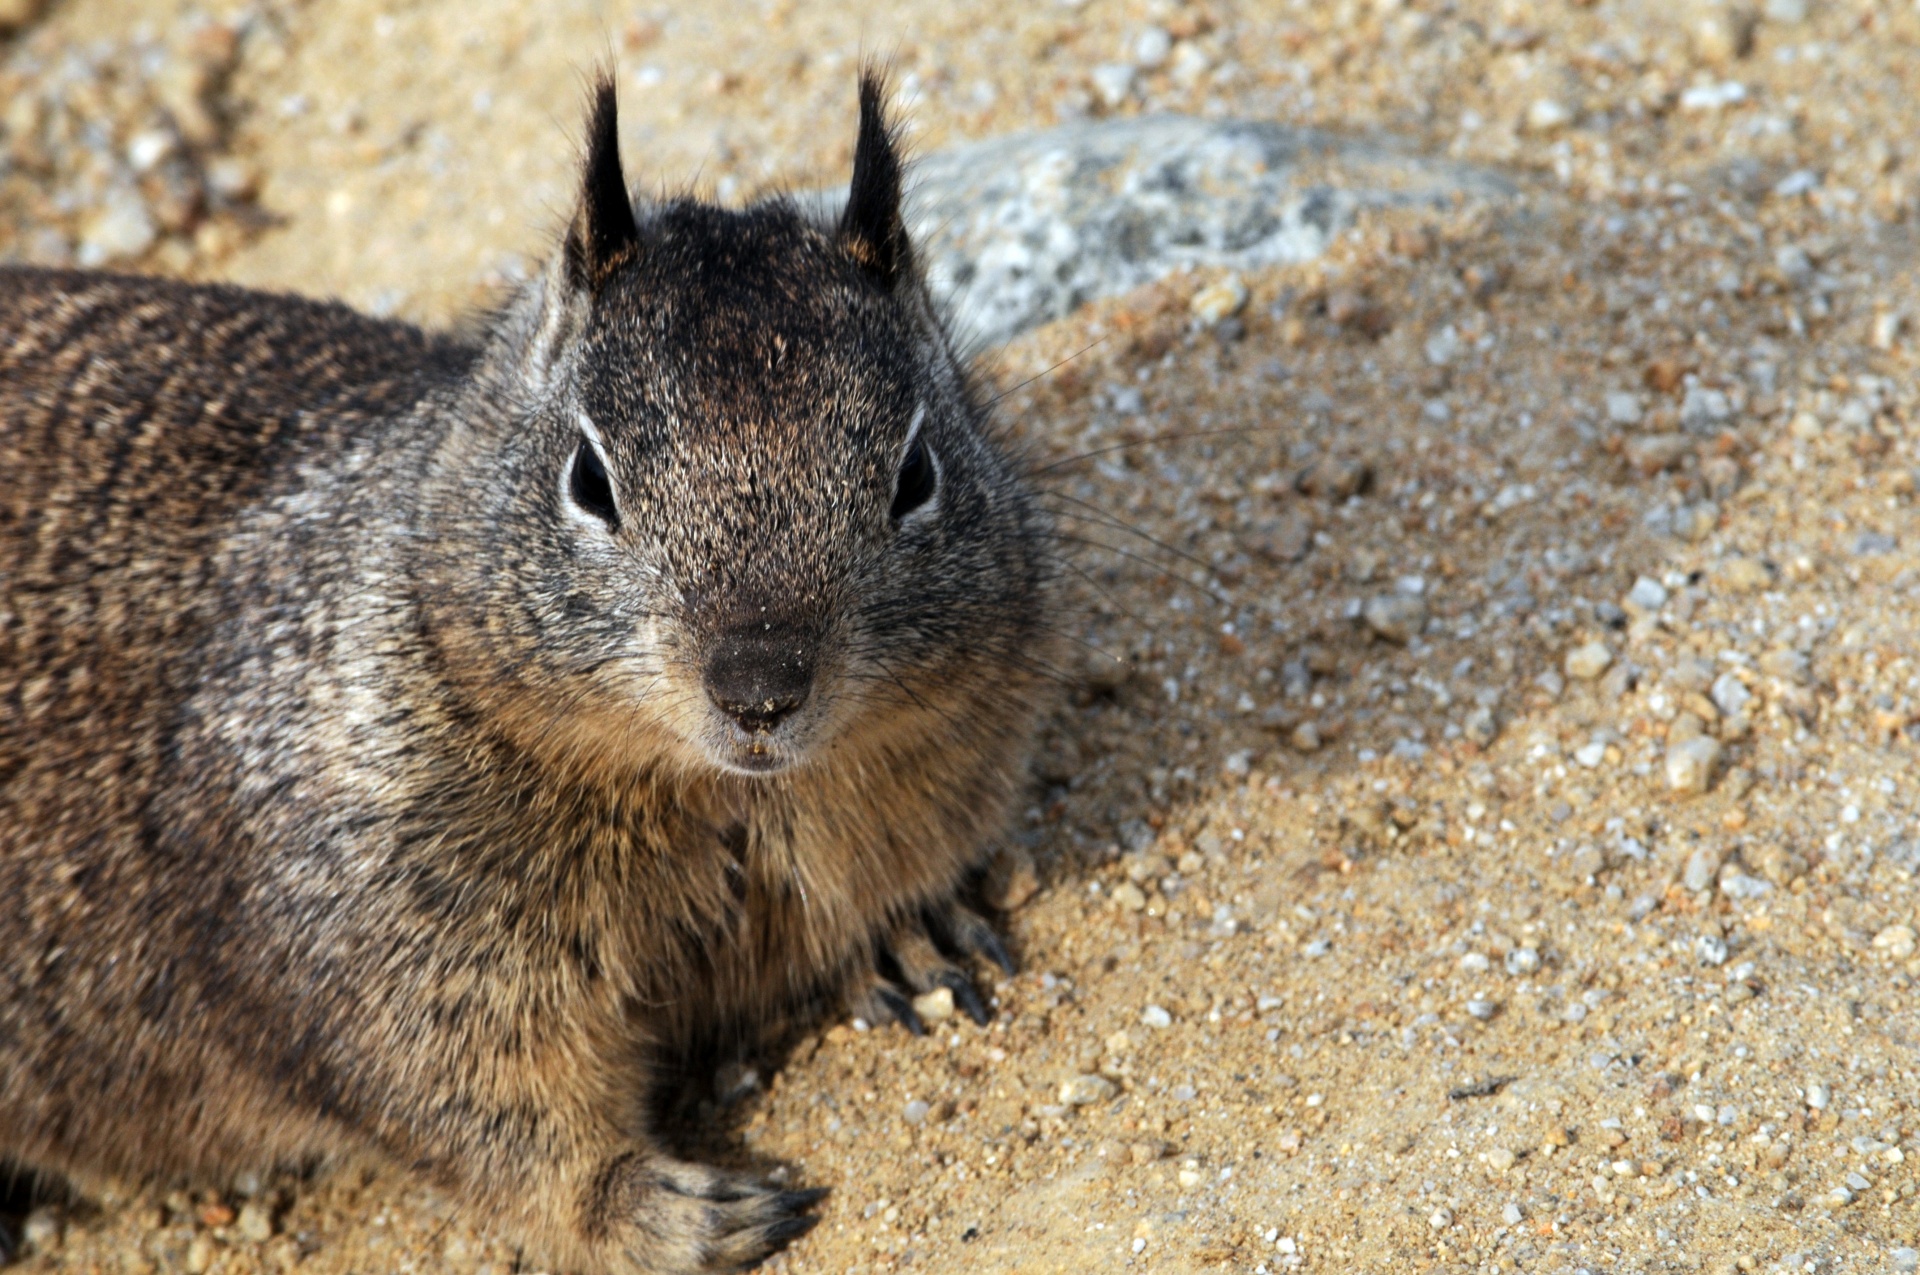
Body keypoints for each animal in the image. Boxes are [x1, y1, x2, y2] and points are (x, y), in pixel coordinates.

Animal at [0, 74, 1059, 1267]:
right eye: (588, 478)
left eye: (916, 471)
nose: (760, 687)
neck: (716, 795)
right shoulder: (404, 954)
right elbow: (491, 1116)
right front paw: (674, 1213)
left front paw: (910, 936)